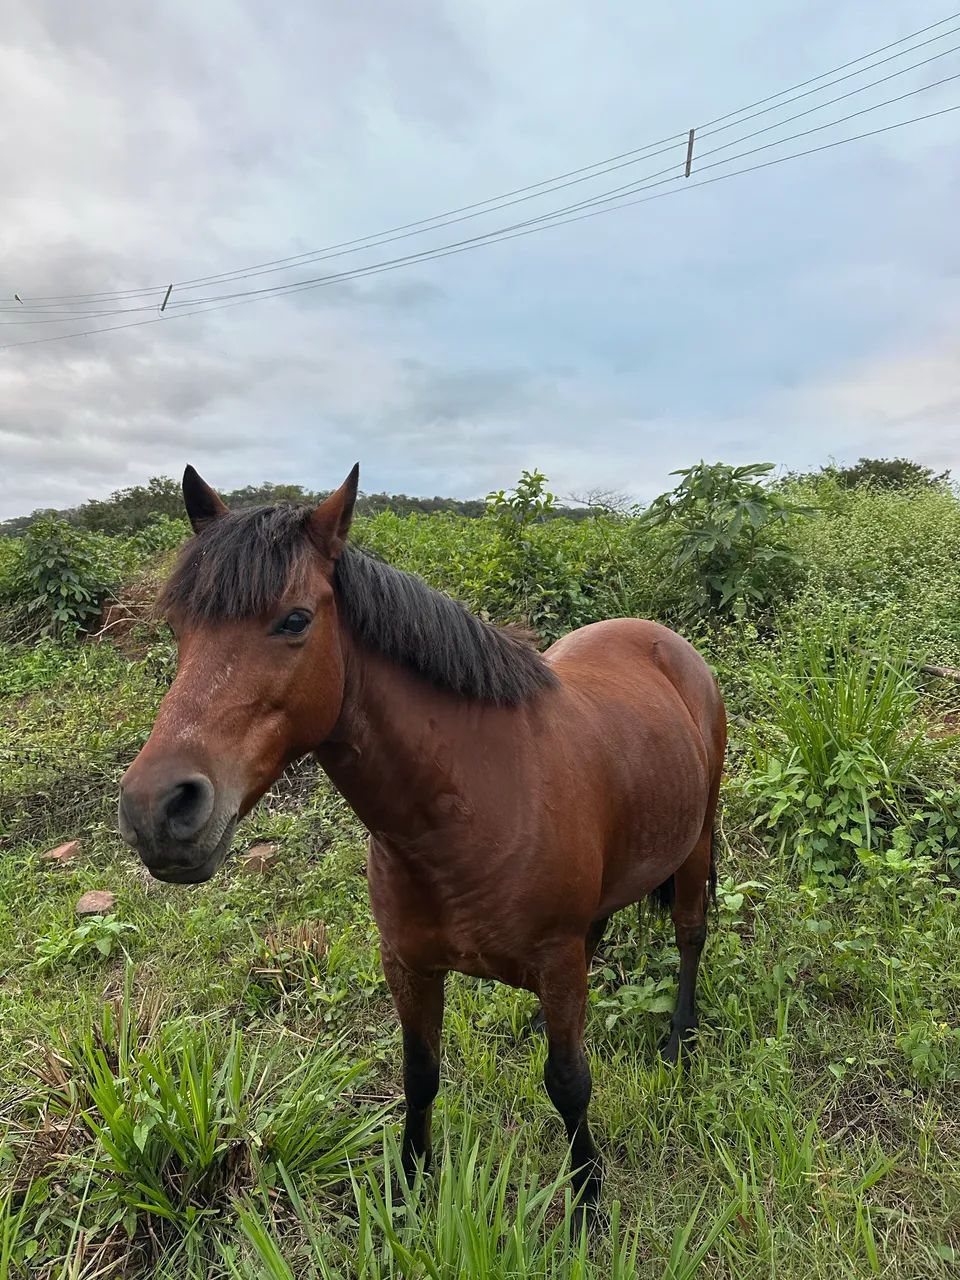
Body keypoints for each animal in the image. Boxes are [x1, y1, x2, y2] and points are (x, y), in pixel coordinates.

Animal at [119, 463, 726, 1219]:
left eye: (295, 620)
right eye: (178, 627)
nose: (156, 809)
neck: (464, 812)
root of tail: (667, 643)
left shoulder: (554, 962)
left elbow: (569, 1083)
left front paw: (588, 1199)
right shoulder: (407, 965)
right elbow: (420, 1074)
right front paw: (409, 1186)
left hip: (696, 840)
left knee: (690, 933)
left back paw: (680, 1039)